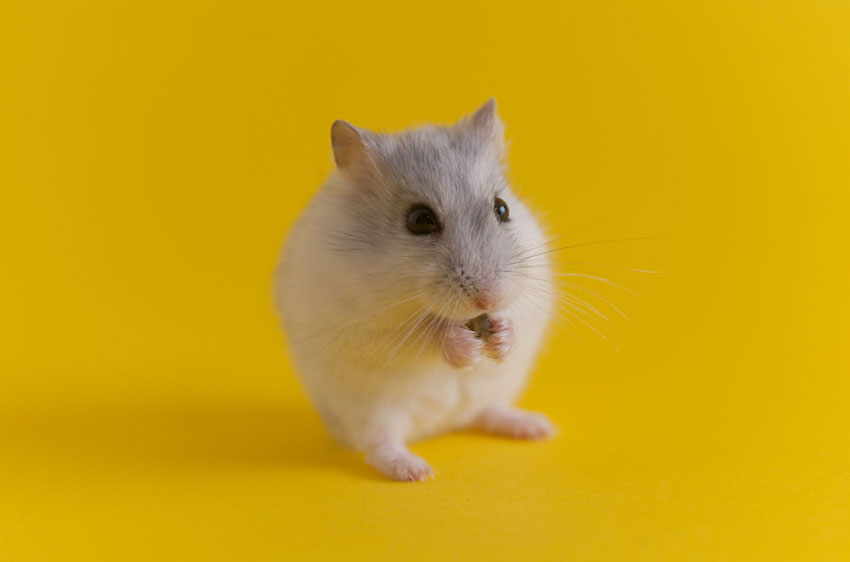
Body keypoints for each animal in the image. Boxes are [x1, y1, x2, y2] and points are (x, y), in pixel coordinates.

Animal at [274, 98, 556, 480]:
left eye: (503, 208)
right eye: (419, 220)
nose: (488, 298)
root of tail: (437, 428)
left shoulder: (533, 293)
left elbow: (517, 314)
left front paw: (499, 339)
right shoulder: (362, 322)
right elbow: (424, 334)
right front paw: (464, 348)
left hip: (493, 391)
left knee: (485, 412)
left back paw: (537, 428)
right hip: (372, 412)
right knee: (380, 445)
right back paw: (415, 471)